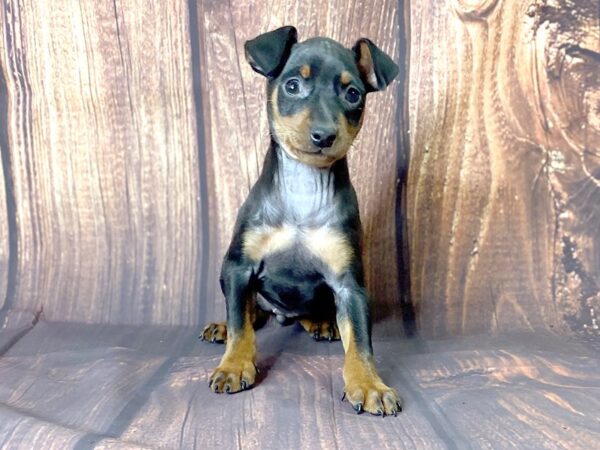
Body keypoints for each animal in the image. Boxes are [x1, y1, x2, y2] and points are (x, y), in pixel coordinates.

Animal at [202, 26, 404, 416]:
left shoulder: (350, 285)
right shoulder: (238, 267)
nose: (324, 135)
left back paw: (323, 323)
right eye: (292, 86)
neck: (304, 189)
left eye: (353, 94)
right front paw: (234, 365)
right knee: (249, 312)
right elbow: (240, 326)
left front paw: (369, 384)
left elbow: (361, 341)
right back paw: (226, 325)